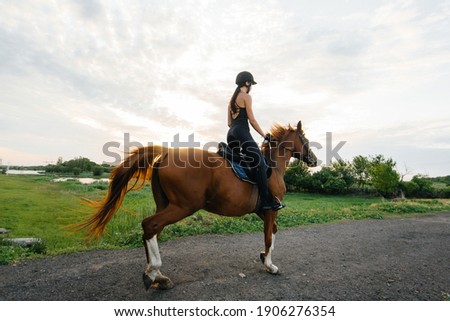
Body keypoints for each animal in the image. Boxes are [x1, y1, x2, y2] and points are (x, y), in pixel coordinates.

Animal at [76, 120, 316, 290]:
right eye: (305, 138)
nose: (314, 160)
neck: (272, 166)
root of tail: (167, 153)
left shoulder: (263, 211)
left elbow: (272, 232)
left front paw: (264, 257)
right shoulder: (270, 211)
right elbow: (268, 236)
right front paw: (270, 265)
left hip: (166, 205)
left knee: (152, 230)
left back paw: (157, 276)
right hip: (182, 207)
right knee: (150, 225)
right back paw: (154, 273)